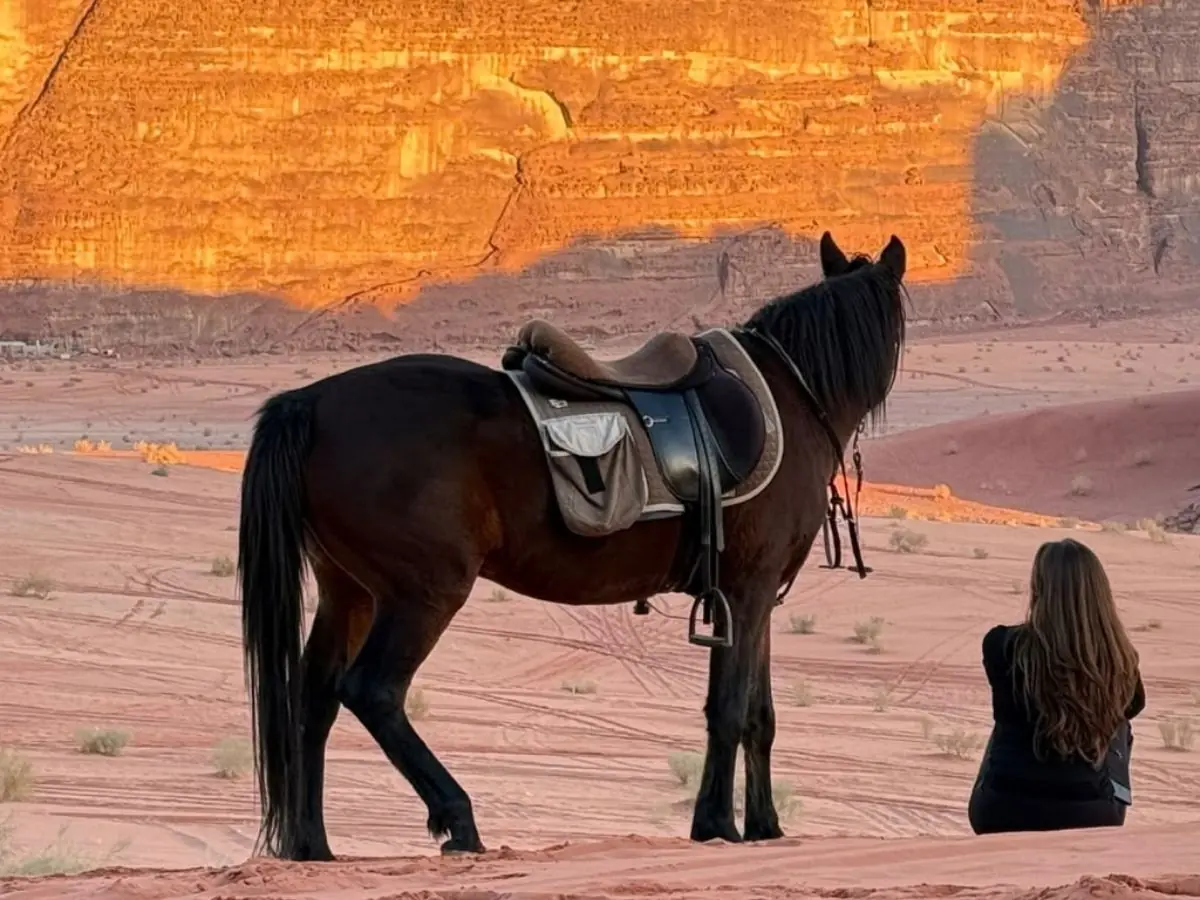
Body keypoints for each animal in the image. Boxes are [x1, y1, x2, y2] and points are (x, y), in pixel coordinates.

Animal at [237, 230, 908, 861]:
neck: (792, 396)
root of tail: (310, 402)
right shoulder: (748, 588)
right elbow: (728, 708)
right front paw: (716, 824)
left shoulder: (757, 597)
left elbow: (759, 716)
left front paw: (766, 826)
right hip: (423, 592)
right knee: (372, 692)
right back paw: (459, 820)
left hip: (348, 592)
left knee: (314, 699)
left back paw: (313, 845)